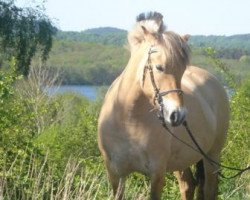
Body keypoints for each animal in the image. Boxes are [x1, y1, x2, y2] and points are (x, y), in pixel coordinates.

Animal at [96, 11, 229, 199]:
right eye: (159, 67)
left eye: (182, 70)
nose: (178, 115)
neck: (128, 120)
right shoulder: (115, 175)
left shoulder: (157, 174)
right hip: (182, 161)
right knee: (188, 185)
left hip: (212, 156)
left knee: (209, 189)